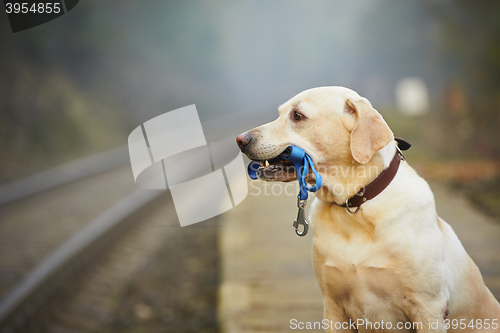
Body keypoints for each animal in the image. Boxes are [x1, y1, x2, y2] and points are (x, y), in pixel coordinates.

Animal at [237, 87, 500, 330]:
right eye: (281, 114)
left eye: (297, 116)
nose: (241, 140)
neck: (354, 207)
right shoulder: (333, 306)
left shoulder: (429, 308)